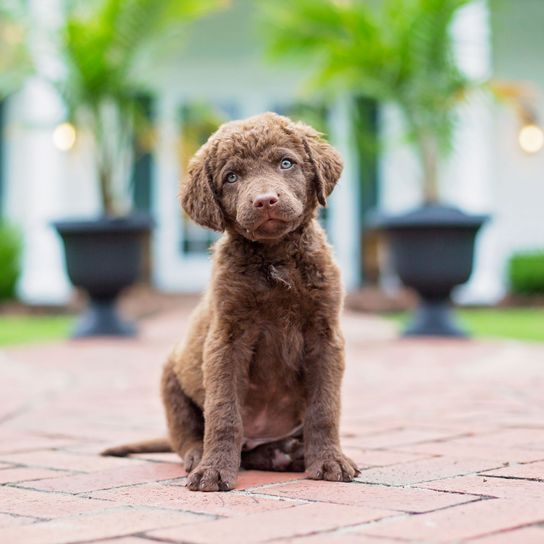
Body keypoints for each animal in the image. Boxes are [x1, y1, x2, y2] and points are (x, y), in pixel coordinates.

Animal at [103, 112, 360, 490]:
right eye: (232, 177)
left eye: (286, 163)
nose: (265, 200)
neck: (275, 258)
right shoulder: (226, 338)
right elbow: (223, 412)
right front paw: (213, 471)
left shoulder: (325, 336)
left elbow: (324, 407)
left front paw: (329, 461)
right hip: (170, 378)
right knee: (189, 435)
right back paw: (204, 456)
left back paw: (287, 454)